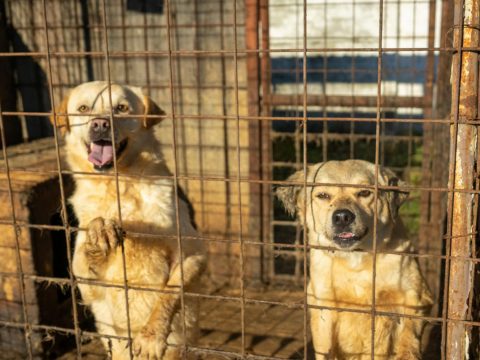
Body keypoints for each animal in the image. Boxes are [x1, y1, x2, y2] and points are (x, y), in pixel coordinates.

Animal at [51, 80, 206, 358]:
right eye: (83, 108)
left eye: (121, 108)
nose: (100, 124)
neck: (119, 186)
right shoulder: (87, 286)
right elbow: (86, 255)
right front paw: (98, 233)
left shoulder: (193, 252)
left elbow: (169, 293)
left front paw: (151, 336)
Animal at [276, 161, 434, 360]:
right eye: (323, 195)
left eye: (364, 193)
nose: (342, 217)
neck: (356, 262)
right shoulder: (324, 307)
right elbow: (324, 348)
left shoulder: (416, 297)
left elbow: (408, 336)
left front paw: (406, 352)